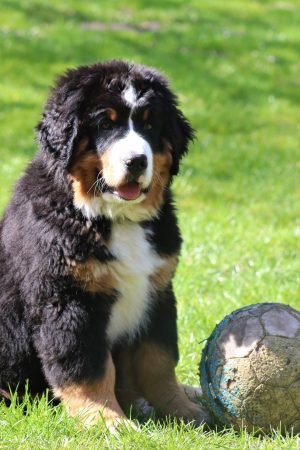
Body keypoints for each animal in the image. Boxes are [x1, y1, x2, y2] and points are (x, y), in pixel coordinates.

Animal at [0, 59, 211, 428]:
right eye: (104, 123)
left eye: (150, 124)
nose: (137, 161)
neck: (113, 218)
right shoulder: (68, 300)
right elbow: (88, 369)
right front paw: (105, 420)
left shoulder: (157, 292)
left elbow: (159, 361)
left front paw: (181, 409)